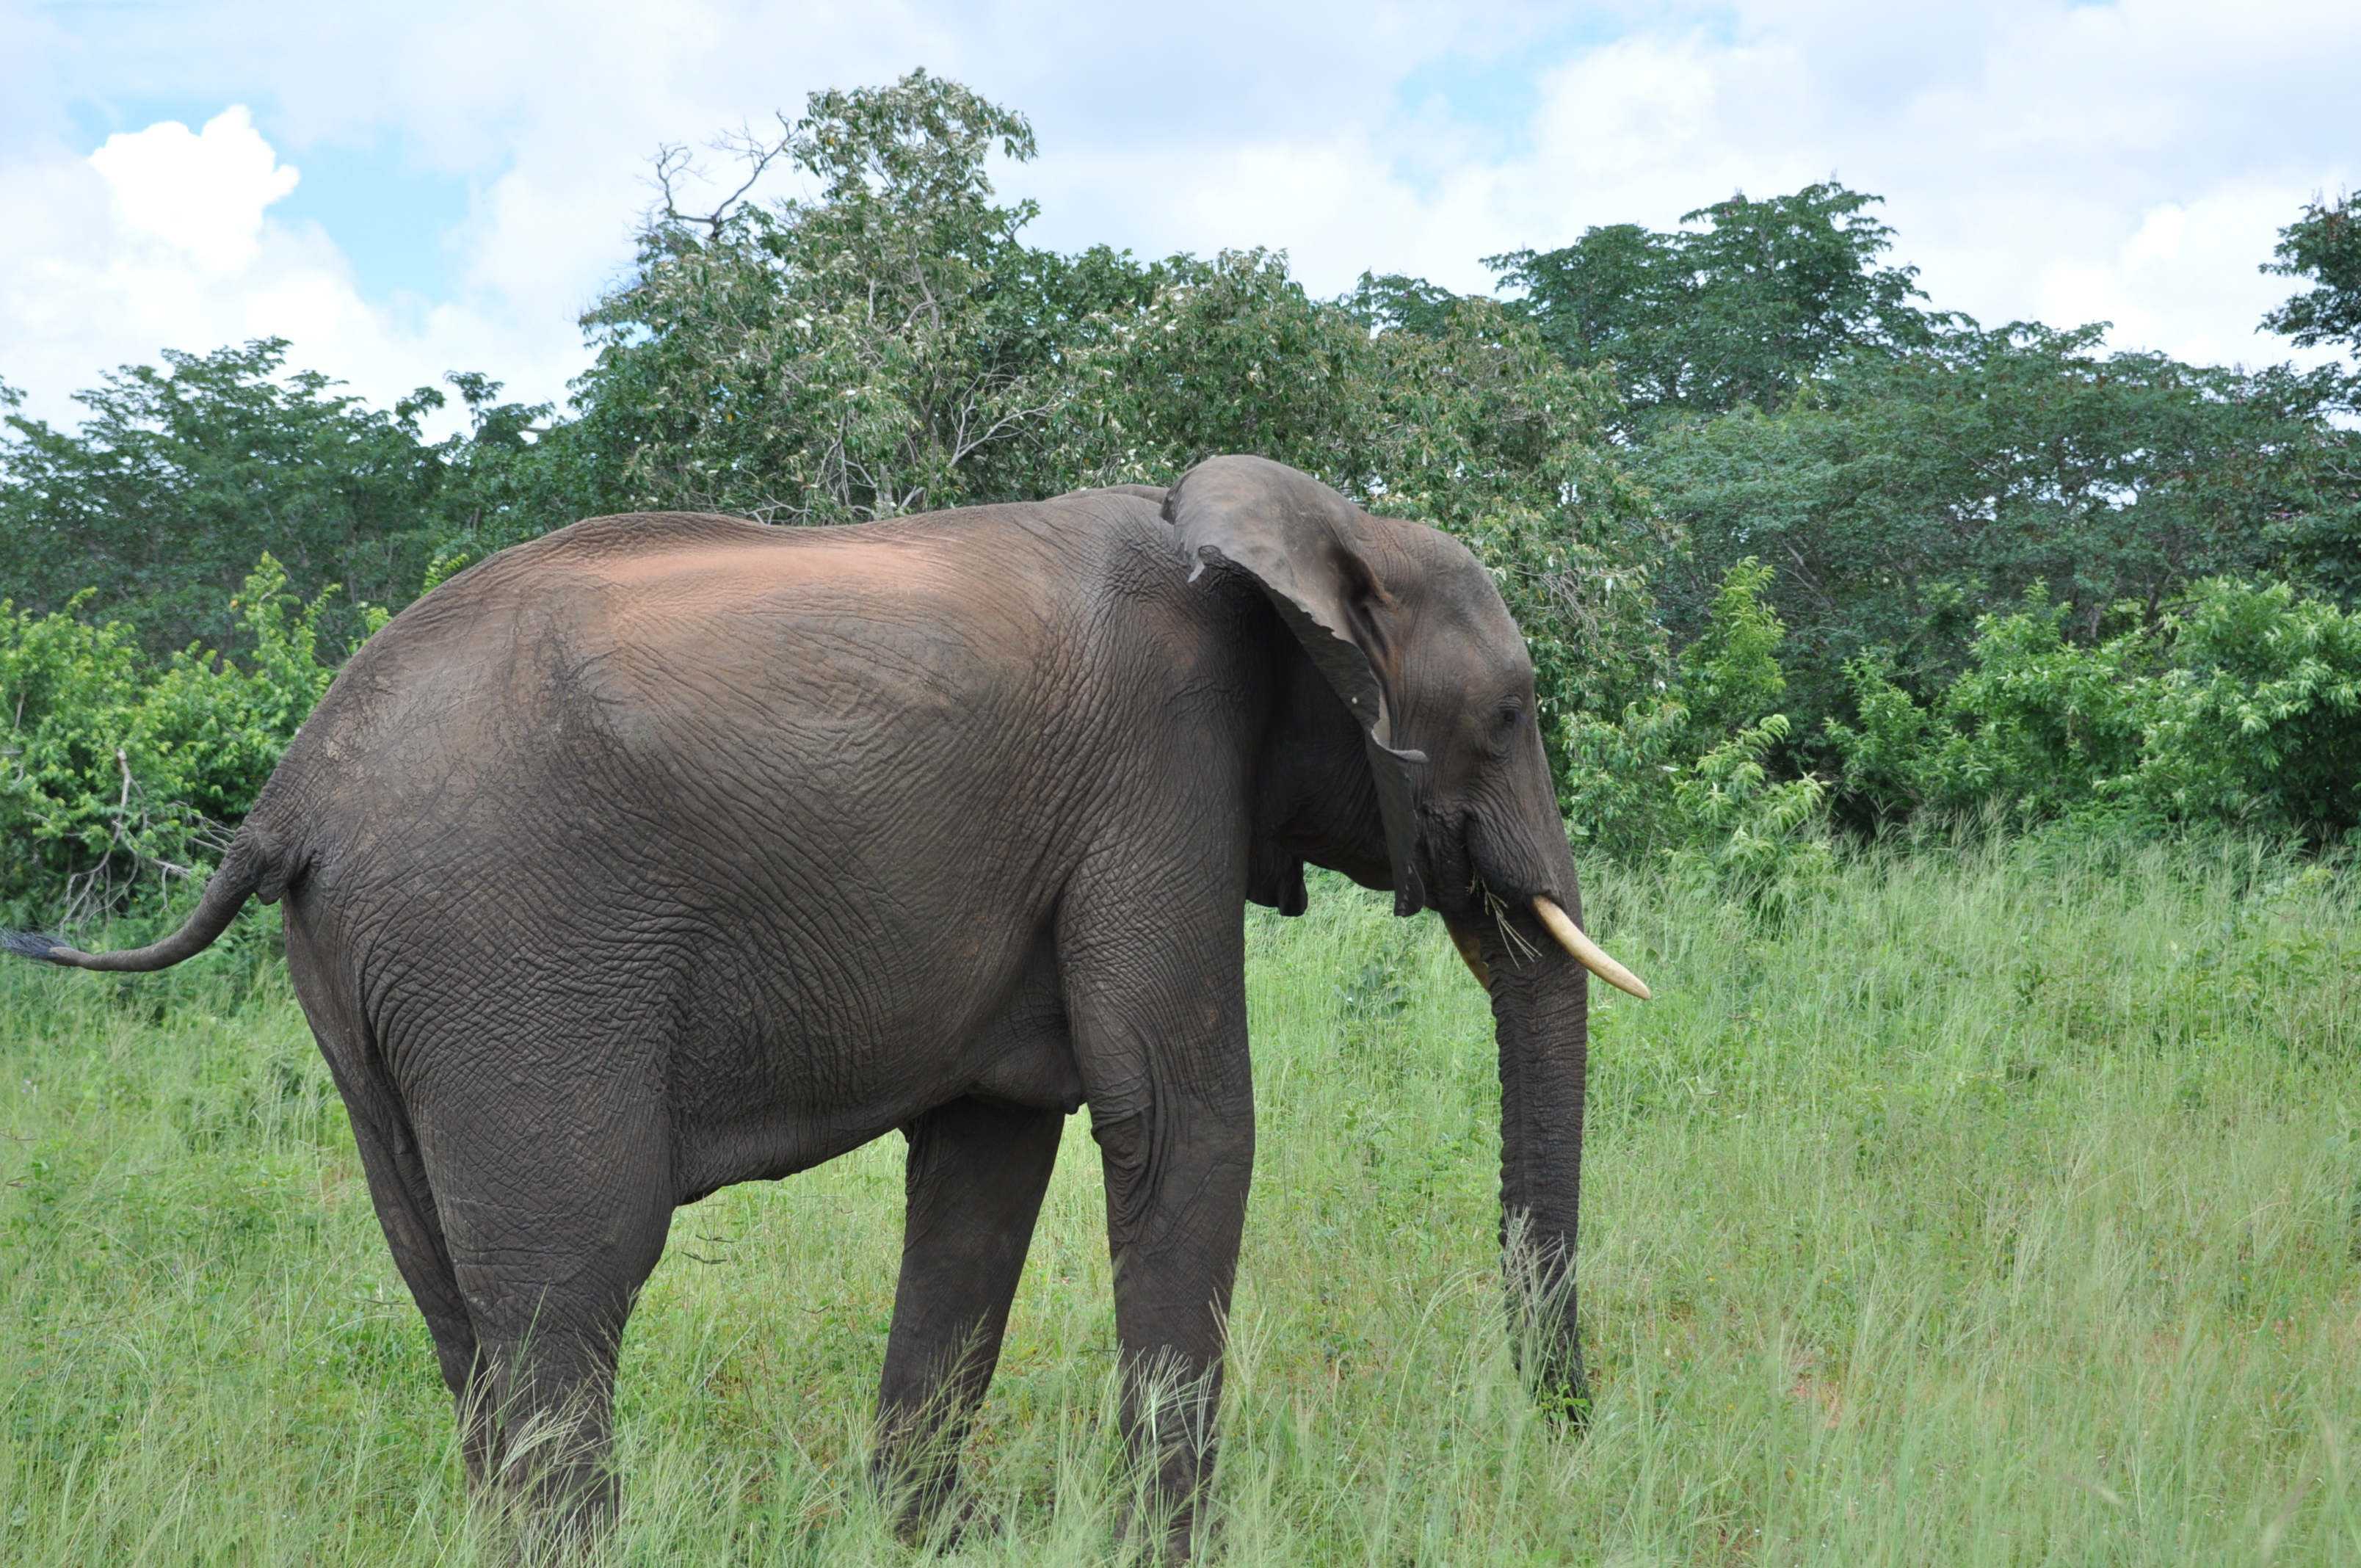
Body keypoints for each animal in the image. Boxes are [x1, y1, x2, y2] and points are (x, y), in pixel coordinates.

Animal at [9, 453, 1653, 1558]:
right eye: (1511, 713)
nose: (1565, 1433)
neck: (1309, 527)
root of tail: (286, 795)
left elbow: (992, 1154)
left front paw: (936, 1540)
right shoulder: (1161, 771)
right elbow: (1178, 1115)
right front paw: (1161, 1551)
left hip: (369, 983)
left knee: (447, 1297)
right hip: (506, 956)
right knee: (564, 1287)